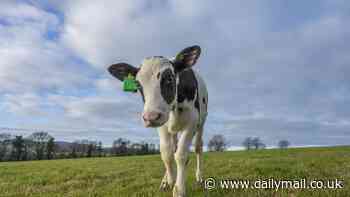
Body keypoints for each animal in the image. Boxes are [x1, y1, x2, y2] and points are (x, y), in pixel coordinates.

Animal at [108, 46, 208, 197]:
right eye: (137, 84)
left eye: (169, 78)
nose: (150, 117)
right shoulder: (162, 125)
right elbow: (166, 154)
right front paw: (169, 180)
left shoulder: (191, 122)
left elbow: (181, 155)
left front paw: (179, 189)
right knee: (172, 148)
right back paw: (166, 180)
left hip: (201, 122)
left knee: (198, 147)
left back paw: (199, 176)